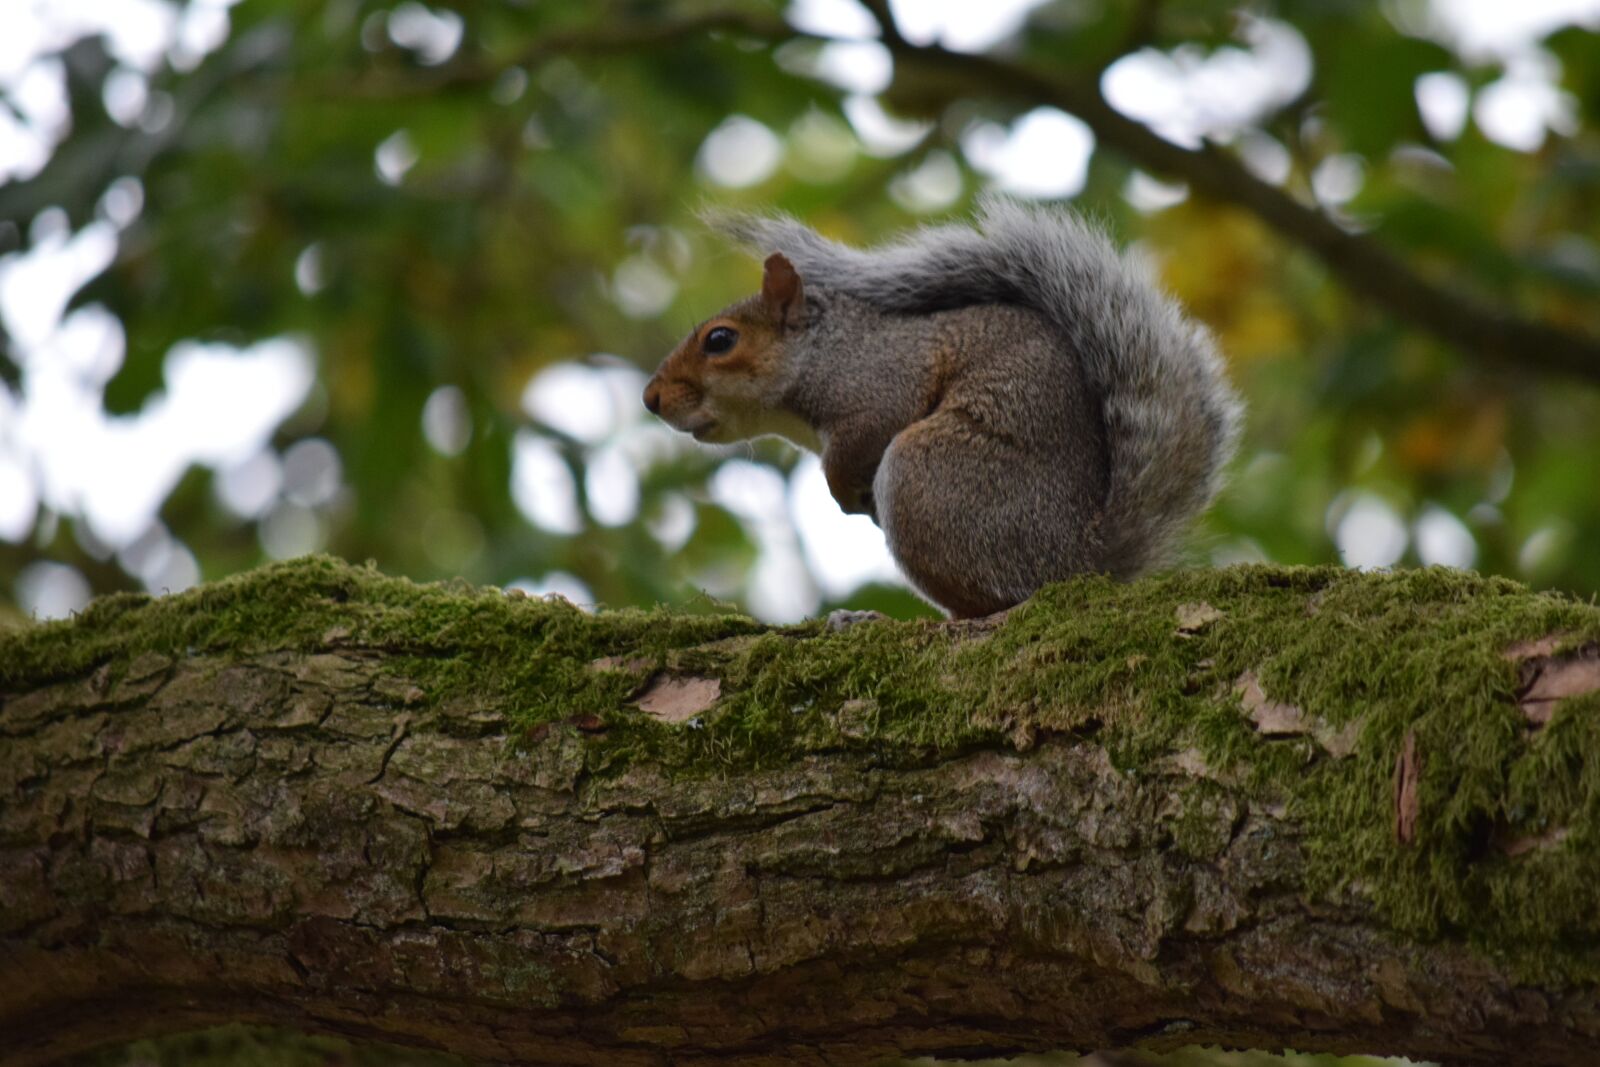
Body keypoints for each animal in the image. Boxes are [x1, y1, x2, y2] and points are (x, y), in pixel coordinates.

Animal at [642, 195, 1243, 619]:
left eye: (720, 340)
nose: (650, 398)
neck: (821, 351)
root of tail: (1081, 561)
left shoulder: (881, 379)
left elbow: (867, 431)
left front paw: (840, 491)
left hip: (928, 476)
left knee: (994, 603)